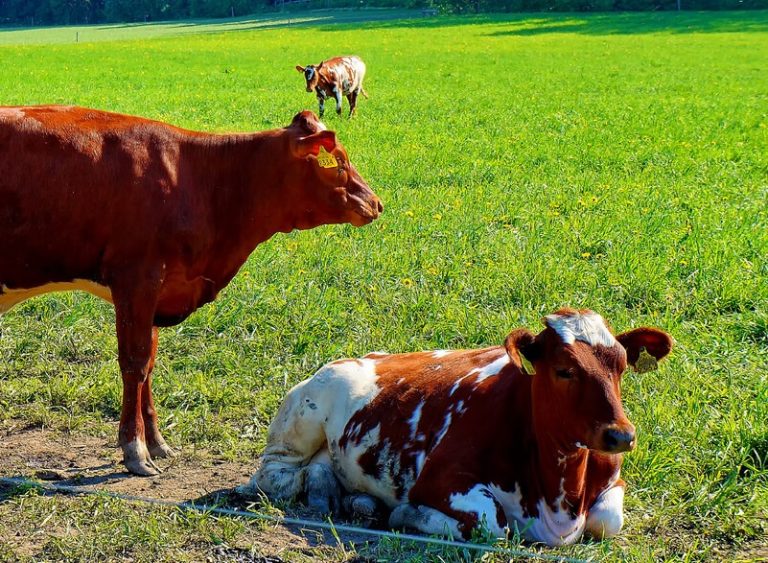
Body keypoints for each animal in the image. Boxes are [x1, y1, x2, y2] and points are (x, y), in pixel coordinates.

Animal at [0, 105, 382, 477]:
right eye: (339, 162)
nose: (376, 203)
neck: (200, 179)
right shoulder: (136, 280)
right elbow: (134, 364)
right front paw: (134, 449)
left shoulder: (158, 292)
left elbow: (149, 363)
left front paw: (157, 442)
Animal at [246, 309, 673, 546]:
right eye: (564, 369)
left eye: (621, 366)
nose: (621, 435)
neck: (558, 495)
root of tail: (363, 355)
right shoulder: (439, 479)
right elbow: (493, 523)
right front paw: (407, 515)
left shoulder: (614, 480)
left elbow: (606, 521)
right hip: (302, 416)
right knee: (275, 475)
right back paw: (321, 490)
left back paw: (356, 500)